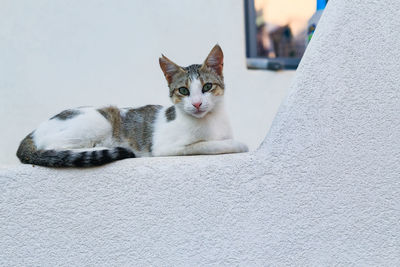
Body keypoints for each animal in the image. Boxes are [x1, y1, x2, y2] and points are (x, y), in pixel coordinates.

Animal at [17, 45, 248, 168]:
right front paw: (236, 144)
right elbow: (208, 145)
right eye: (183, 91)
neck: (210, 121)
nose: (197, 103)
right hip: (99, 120)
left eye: (207, 87)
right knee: (53, 147)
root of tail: (32, 132)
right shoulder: (165, 148)